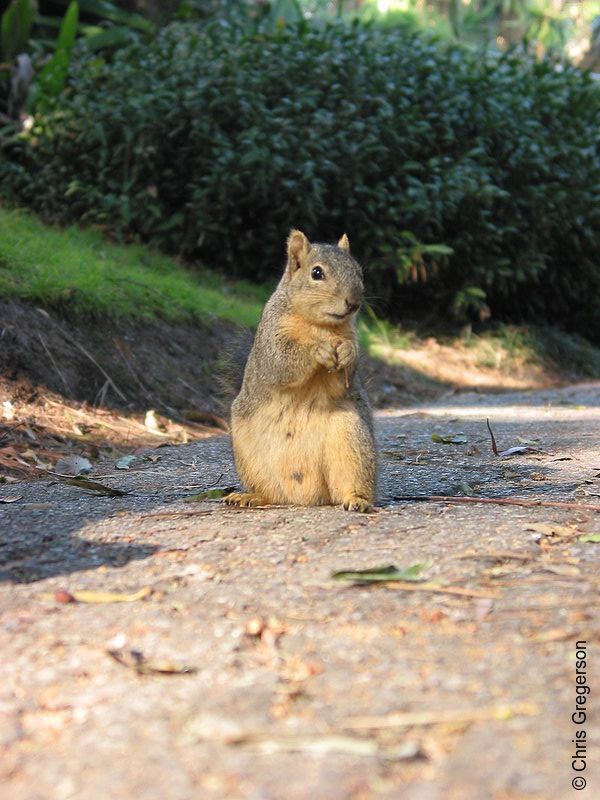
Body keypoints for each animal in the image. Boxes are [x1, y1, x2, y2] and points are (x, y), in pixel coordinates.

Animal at [225, 228, 376, 510]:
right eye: (317, 273)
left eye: (358, 271)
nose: (354, 303)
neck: (320, 326)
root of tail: (304, 498)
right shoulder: (271, 337)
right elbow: (281, 361)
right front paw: (318, 350)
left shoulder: (349, 336)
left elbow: (343, 379)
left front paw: (348, 353)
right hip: (249, 454)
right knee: (270, 493)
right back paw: (249, 496)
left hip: (352, 440)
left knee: (348, 482)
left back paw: (357, 499)